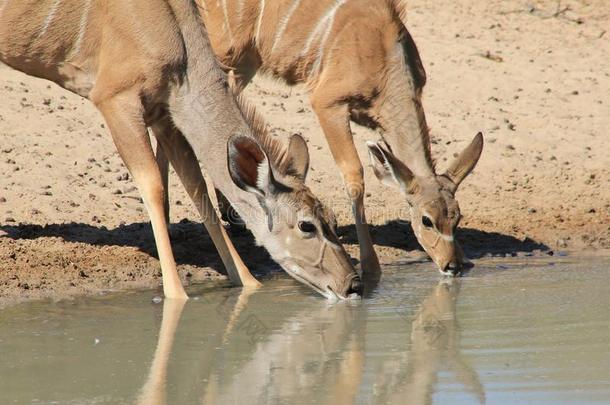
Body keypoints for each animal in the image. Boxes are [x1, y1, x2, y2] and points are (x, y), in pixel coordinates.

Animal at [0, 0, 360, 296]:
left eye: (331, 218)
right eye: (306, 225)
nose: (352, 284)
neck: (177, 37)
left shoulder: (164, 115)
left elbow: (198, 192)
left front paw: (249, 283)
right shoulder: (116, 100)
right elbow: (154, 187)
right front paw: (177, 295)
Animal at [188, 0, 482, 274]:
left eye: (457, 218)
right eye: (426, 220)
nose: (453, 265)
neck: (383, 55)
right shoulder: (328, 103)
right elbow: (354, 175)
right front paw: (371, 266)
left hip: (245, 64)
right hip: (224, 53)